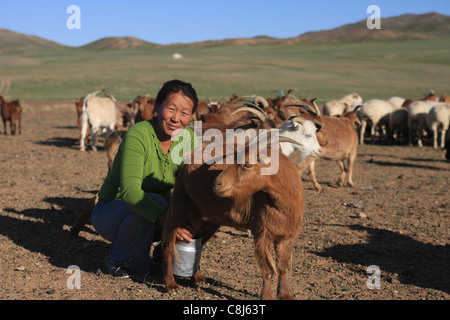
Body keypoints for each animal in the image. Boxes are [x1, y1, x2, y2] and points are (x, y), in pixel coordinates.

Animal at [162, 127, 320, 300]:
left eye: (247, 164)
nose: (216, 184)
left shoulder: (285, 236)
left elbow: (282, 267)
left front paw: (285, 295)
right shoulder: (262, 233)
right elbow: (268, 270)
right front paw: (267, 296)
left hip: (208, 218)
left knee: (200, 243)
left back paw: (197, 278)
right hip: (178, 204)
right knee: (168, 245)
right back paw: (170, 285)